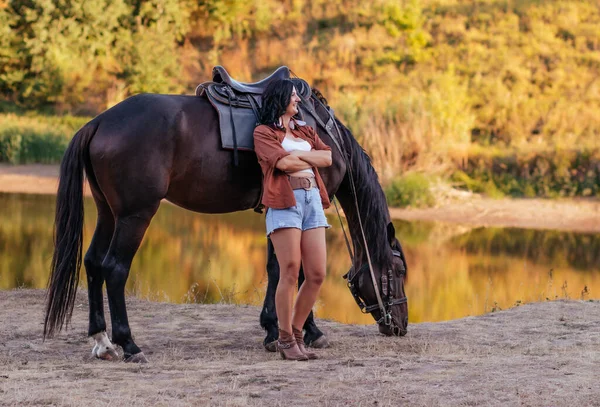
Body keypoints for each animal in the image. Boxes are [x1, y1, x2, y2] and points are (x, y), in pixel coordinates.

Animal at [43, 90, 408, 364]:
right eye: (400, 271)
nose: (401, 326)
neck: (328, 135)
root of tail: (99, 122)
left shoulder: (276, 210)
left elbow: (277, 268)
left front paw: (273, 330)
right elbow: (299, 270)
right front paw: (307, 331)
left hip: (108, 213)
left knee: (93, 264)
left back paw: (103, 342)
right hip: (135, 215)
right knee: (115, 269)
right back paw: (130, 345)